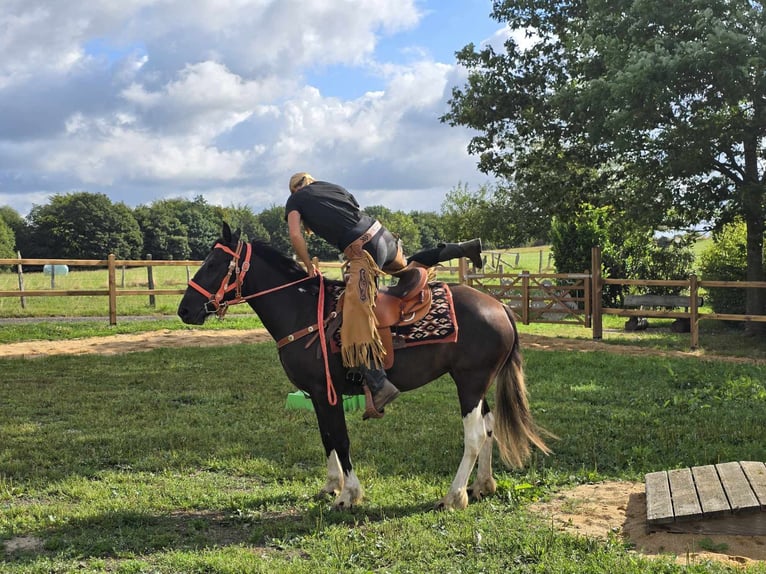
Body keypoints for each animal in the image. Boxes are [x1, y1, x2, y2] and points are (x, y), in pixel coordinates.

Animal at [177, 225, 548, 512]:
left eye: (213, 263)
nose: (185, 310)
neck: (304, 311)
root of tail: (499, 305)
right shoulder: (318, 394)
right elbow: (327, 437)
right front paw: (331, 485)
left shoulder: (326, 393)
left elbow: (340, 439)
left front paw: (347, 495)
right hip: (479, 385)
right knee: (489, 428)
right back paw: (482, 485)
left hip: (469, 383)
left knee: (474, 435)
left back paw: (453, 496)